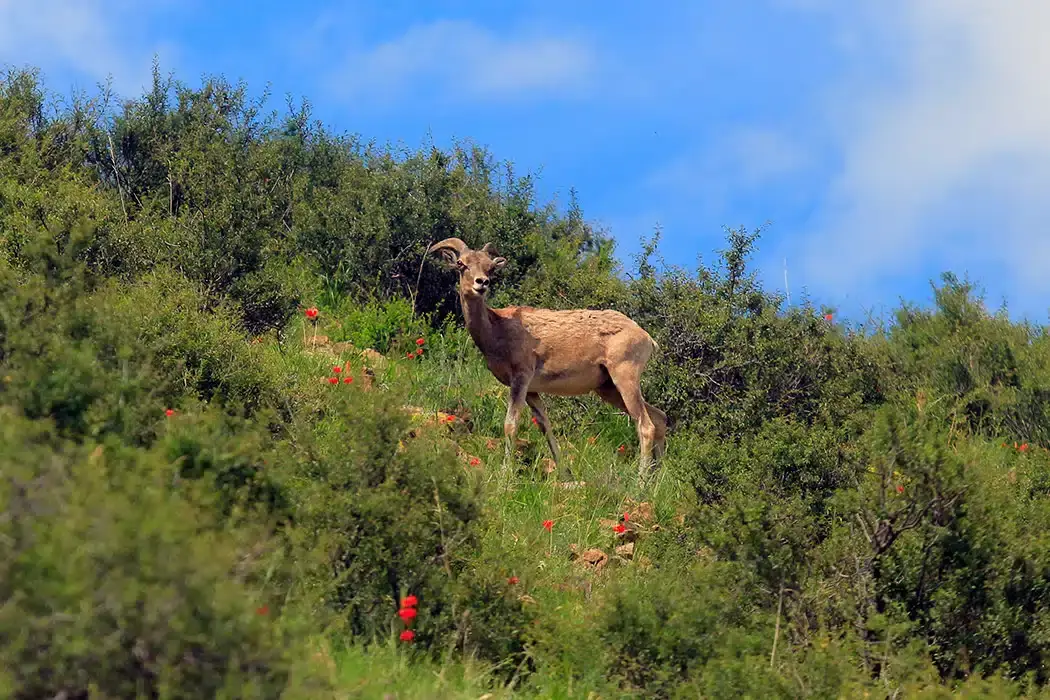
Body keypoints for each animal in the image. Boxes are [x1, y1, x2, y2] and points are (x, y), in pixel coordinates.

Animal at [424, 238, 663, 484]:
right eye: (461, 264)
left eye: (490, 268)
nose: (481, 283)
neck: (497, 330)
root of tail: (647, 339)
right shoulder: (532, 391)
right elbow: (545, 427)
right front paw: (565, 473)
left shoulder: (521, 378)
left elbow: (511, 424)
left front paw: (505, 473)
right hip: (607, 388)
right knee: (659, 419)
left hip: (624, 378)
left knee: (646, 426)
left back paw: (641, 481)